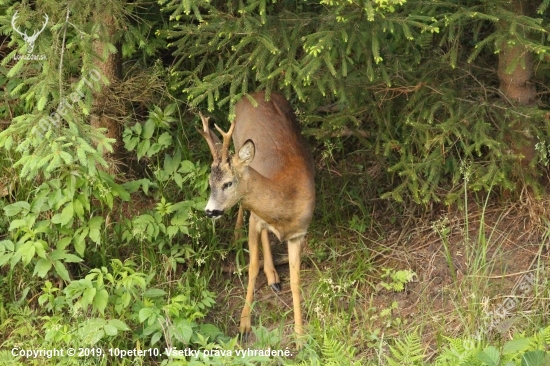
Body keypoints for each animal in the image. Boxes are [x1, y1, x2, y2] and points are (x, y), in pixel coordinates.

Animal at [199, 91, 316, 340]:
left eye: (228, 183)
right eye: (210, 182)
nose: (210, 211)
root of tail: (253, 93)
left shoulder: (298, 233)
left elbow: (296, 281)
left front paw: (300, 336)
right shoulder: (256, 220)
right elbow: (252, 267)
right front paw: (244, 324)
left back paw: (274, 278)